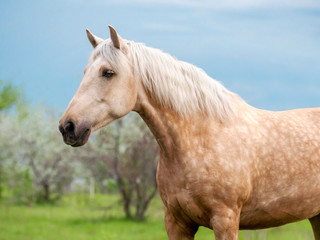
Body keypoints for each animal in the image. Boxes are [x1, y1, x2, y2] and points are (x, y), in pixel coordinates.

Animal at [58, 25, 320, 239]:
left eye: (108, 72)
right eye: (85, 71)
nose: (67, 127)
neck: (200, 140)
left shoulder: (225, 220)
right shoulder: (176, 222)